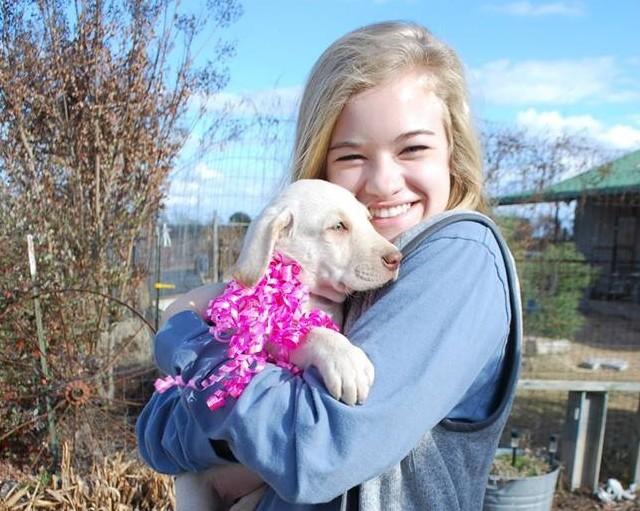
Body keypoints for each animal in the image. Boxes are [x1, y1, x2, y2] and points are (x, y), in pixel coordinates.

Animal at [170, 180, 400, 511]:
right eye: (338, 226)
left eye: (369, 219)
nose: (397, 258)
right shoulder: (266, 339)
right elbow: (311, 333)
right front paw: (346, 360)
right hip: (193, 489)